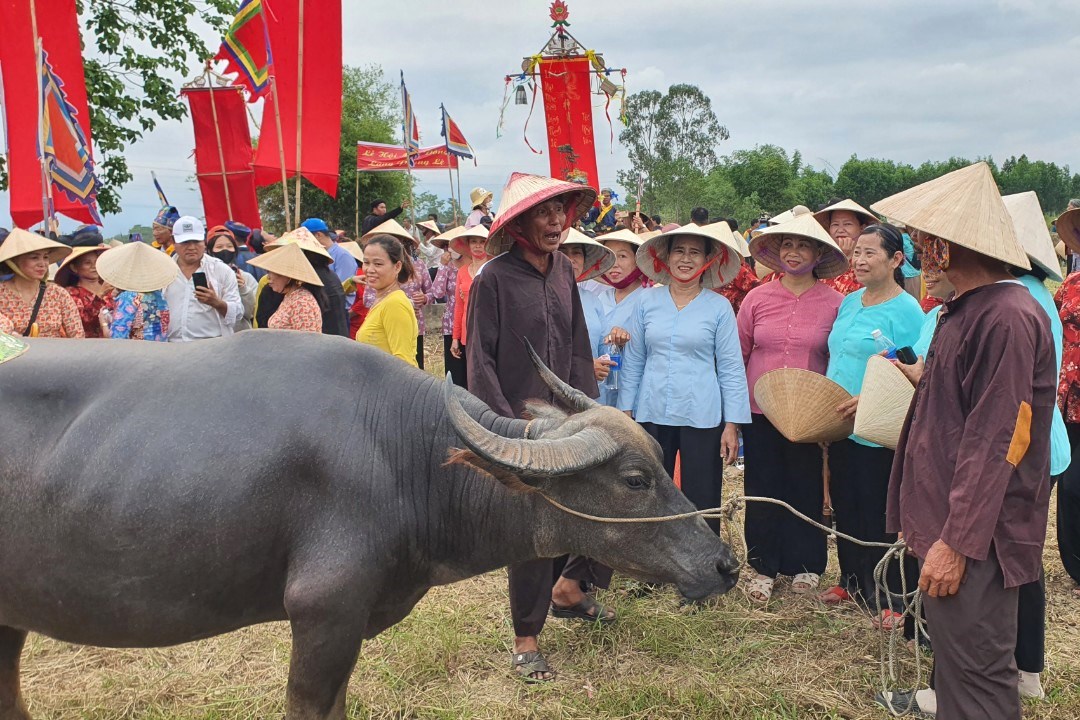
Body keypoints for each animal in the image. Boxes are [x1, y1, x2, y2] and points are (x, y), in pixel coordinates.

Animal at [0, 334, 738, 720]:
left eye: (659, 460)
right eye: (635, 479)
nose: (724, 564)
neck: (402, 455)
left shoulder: (347, 629)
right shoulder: (323, 617)